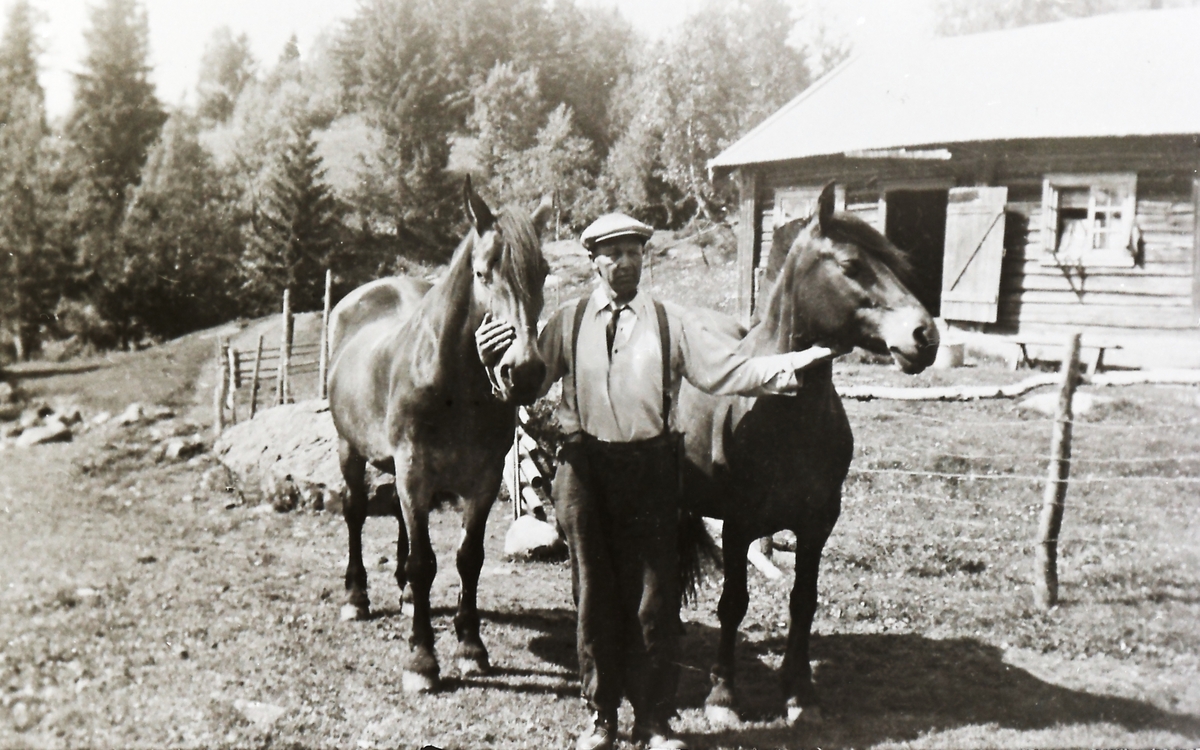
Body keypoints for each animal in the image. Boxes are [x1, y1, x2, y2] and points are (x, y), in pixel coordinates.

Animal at [328, 178, 552, 691]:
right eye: (482, 273)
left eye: (544, 273)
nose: (524, 371)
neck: (453, 383)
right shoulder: (414, 469)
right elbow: (424, 562)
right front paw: (422, 659)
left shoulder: (482, 478)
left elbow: (468, 557)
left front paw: (471, 647)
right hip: (350, 449)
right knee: (355, 513)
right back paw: (357, 598)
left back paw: (408, 597)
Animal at [681, 180, 940, 720]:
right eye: (850, 265)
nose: (925, 336)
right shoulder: (738, 523)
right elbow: (733, 602)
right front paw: (723, 694)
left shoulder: (817, 523)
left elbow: (804, 601)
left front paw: (800, 692)